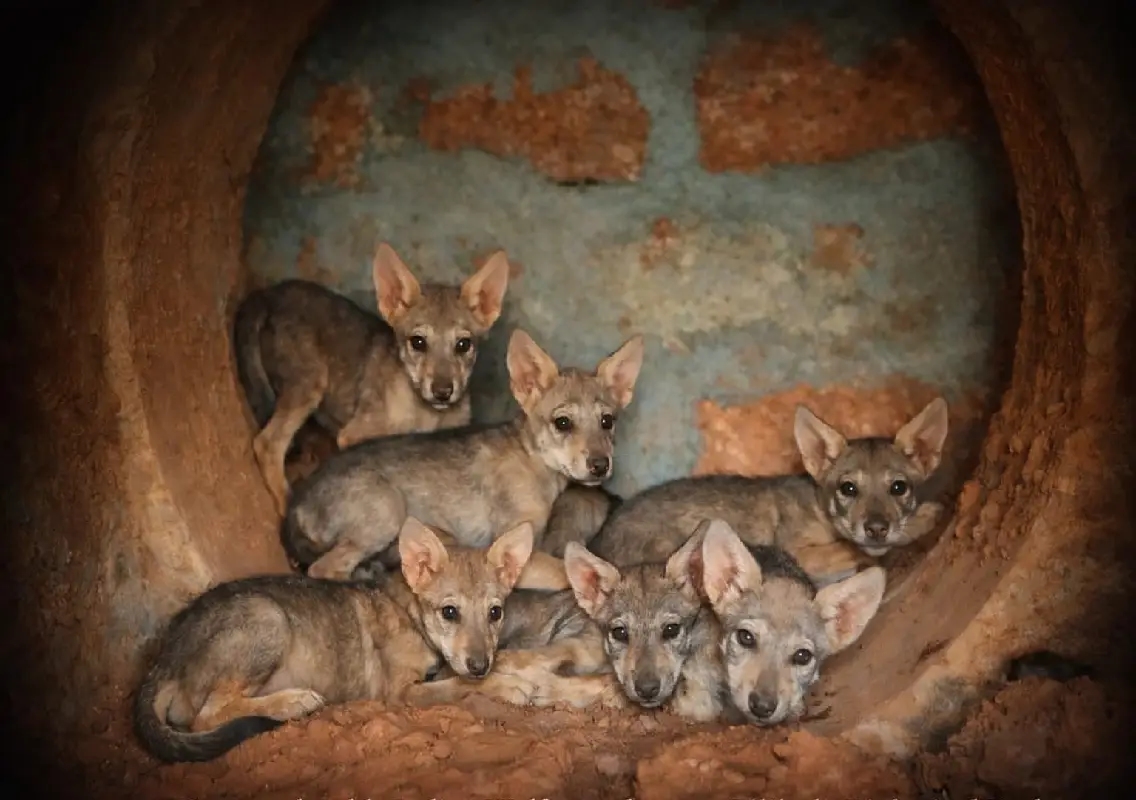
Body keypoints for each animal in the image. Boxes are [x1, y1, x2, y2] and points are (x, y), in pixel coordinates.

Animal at [132, 517, 533, 763]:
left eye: (495, 613)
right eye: (449, 612)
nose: (480, 665)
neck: (409, 613)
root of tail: (164, 657)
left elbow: (459, 677)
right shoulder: (400, 693)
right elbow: (458, 687)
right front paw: (508, 686)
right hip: (268, 617)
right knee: (207, 716)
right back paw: (292, 702)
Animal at [233, 242, 511, 514]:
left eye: (463, 345)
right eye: (418, 342)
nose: (443, 391)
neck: (426, 416)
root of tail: (267, 294)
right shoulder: (353, 436)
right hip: (309, 385)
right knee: (267, 444)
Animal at [281, 328, 646, 582]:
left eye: (608, 421)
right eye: (563, 422)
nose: (600, 466)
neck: (533, 462)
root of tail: (295, 506)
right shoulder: (519, 547)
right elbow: (563, 574)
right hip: (386, 512)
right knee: (322, 569)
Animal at [587, 397, 950, 586]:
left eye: (898, 487)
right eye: (848, 488)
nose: (876, 528)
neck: (817, 507)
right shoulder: (799, 551)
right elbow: (855, 549)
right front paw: (924, 519)